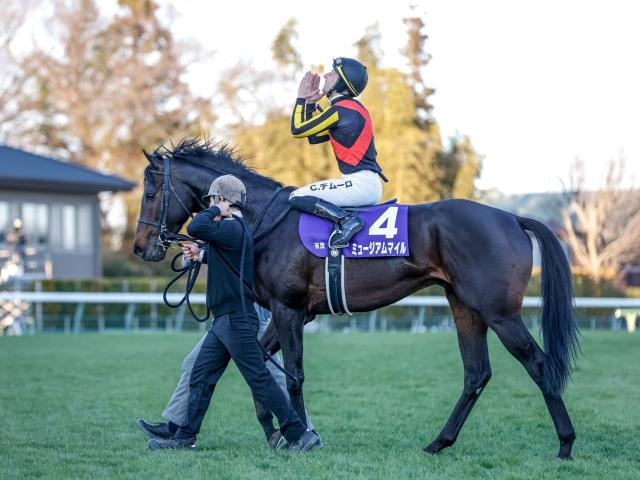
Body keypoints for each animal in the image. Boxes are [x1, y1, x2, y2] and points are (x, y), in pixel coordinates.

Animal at [133, 138, 579, 459]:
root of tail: (511, 217)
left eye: (150, 191)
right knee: (476, 374)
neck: (264, 221)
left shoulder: (288, 309)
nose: (141, 247)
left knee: (538, 364)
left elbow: (291, 375)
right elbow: (255, 363)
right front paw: (275, 430)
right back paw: (439, 443)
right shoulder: (286, 313)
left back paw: (565, 443)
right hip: (465, 308)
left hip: (499, 312)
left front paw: (301, 435)